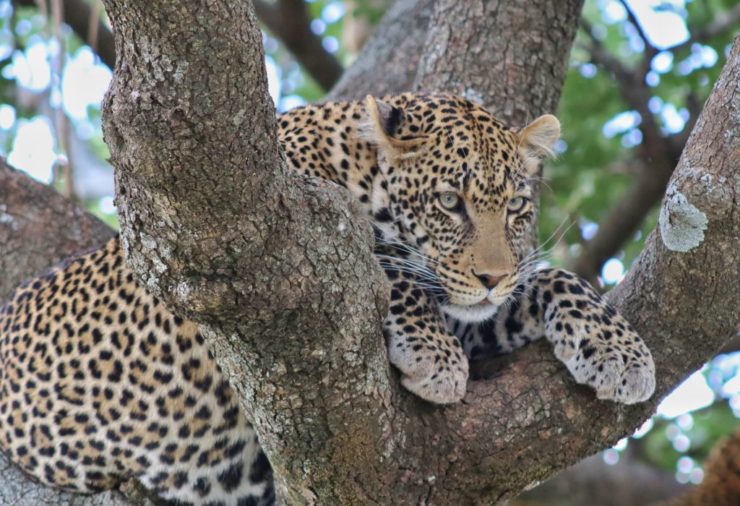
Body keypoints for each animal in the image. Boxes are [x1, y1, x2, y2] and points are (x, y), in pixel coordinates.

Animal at [1, 93, 652, 504]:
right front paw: (435, 355)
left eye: (516, 208)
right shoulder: (227, 256)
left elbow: (549, 279)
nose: (493, 276)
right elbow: (380, 267)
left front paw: (619, 351)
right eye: (449, 203)